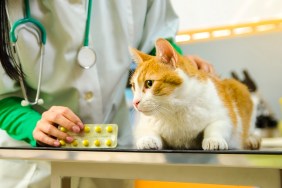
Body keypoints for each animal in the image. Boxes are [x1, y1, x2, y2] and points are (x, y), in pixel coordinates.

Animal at [129, 37, 262, 150]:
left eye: (149, 83)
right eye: (134, 86)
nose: (135, 102)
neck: (174, 109)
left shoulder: (226, 115)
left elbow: (215, 126)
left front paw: (213, 139)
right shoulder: (142, 124)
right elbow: (147, 130)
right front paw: (147, 139)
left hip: (241, 90)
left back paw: (251, 139)